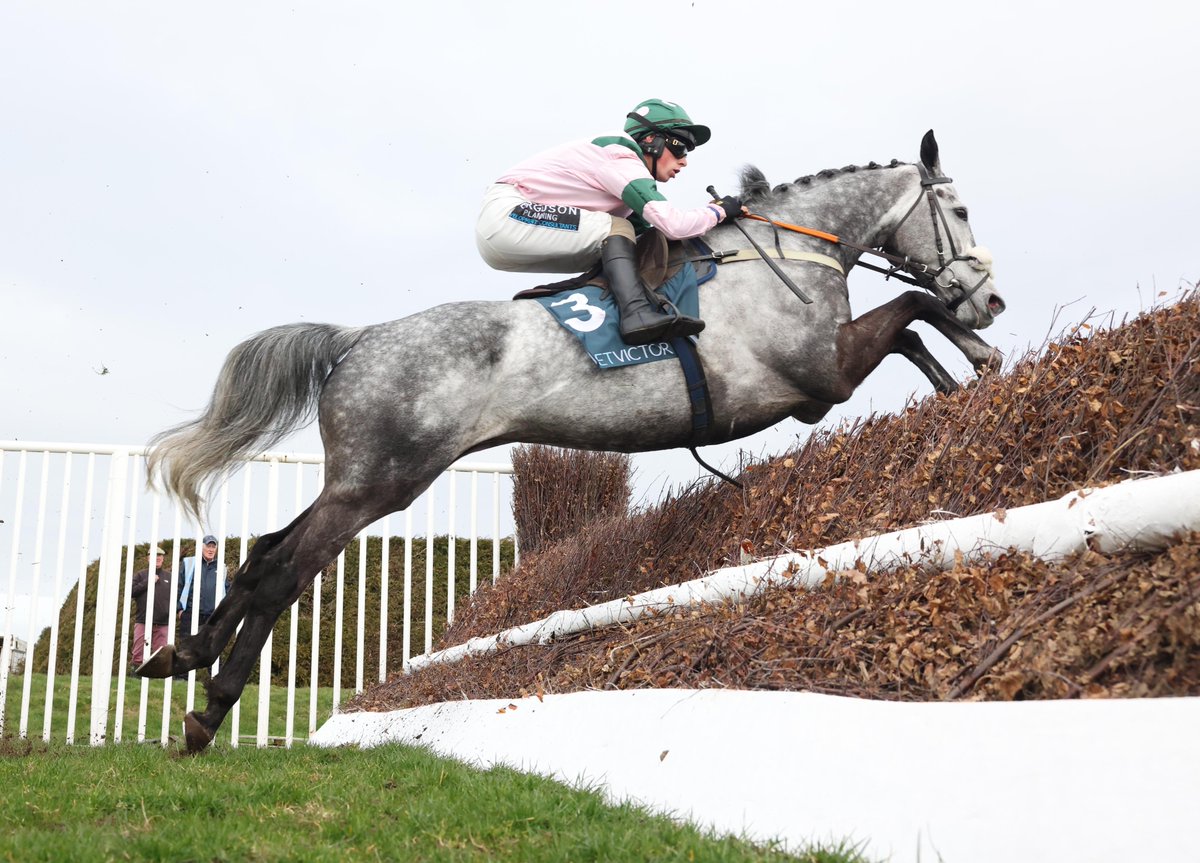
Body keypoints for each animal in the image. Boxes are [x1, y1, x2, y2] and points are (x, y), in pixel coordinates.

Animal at [140, 131, 1003, 753]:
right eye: (960, 211)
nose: (991, 296)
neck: (783, 258)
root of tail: (359, 338)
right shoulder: (821, 375)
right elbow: (914, 310)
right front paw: (979, 354)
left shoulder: (823, 378)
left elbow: (913, 326)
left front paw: (966, 379)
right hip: (382, 481)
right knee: (286, 571)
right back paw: (208, 712)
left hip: (357, 478)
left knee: (258, 555)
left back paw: (180, 655)